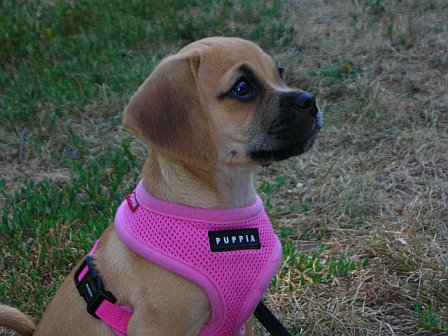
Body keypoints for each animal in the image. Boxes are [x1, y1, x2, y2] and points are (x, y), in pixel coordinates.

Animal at [0, 37, 322, 336]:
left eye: (279, 73)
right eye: (242, 88)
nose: (311, 100)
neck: (223, 210)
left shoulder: (244, 322)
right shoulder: (154, 327)